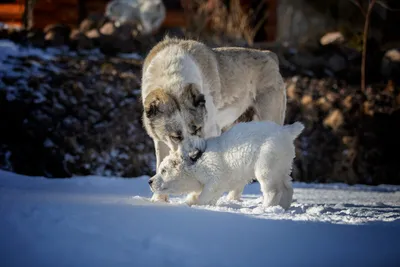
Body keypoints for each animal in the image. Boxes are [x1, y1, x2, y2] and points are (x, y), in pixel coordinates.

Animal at [141, 37, 284, 201]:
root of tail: (269, 55)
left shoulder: (210, 130)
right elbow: (160, 162)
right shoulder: (159, 140)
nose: (194, 155)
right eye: (176, 137)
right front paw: (158, 200)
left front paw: (196, 196)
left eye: (197, 128)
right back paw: (232, 199)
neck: (171, 80)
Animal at [149, 120, 304, 210]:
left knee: (272, 189)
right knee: (287, 186)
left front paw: (198, 203)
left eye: (164, 170)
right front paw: (190, 200)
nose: (149, 181)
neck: (194, 161)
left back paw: (264, 208)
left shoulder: (215, 176)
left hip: (267, 162)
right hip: (282, 163)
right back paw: (283, 207)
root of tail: (285, 131)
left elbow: (208, 192)